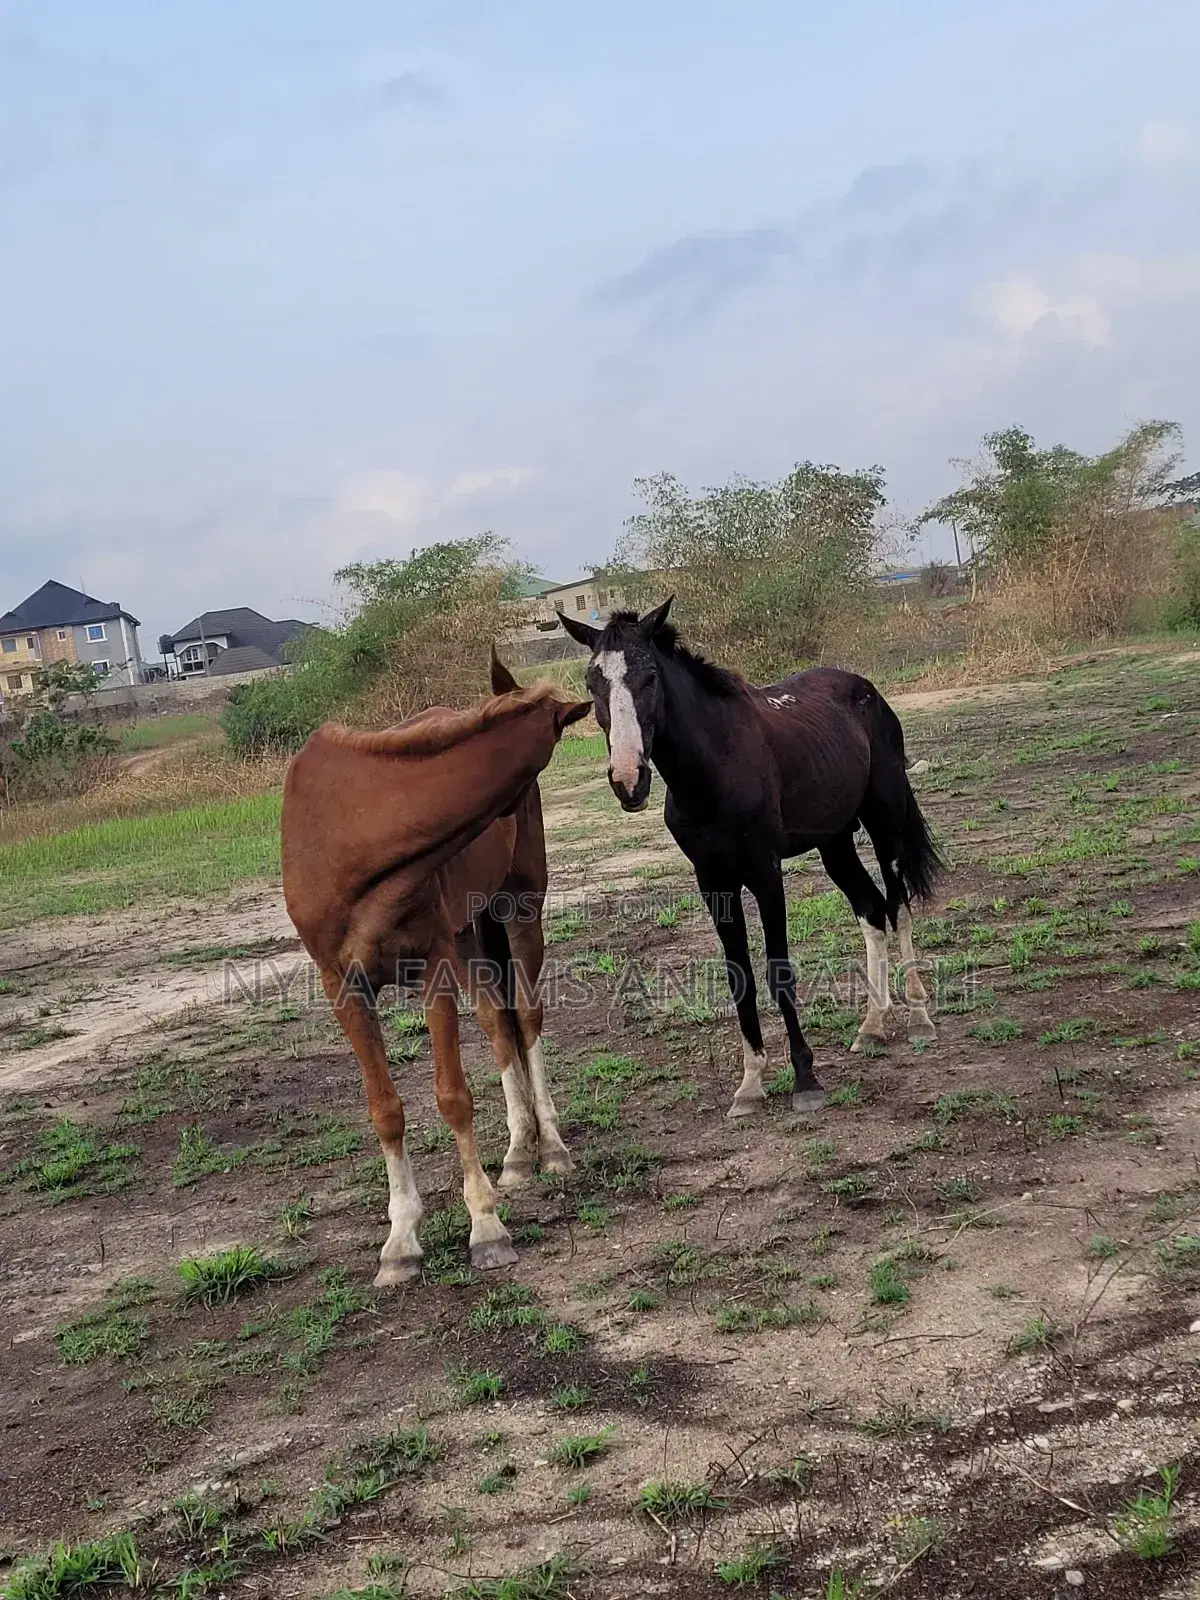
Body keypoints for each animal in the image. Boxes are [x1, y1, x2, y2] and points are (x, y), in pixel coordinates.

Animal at [281, 653, 591, 1284]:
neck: (356, 834)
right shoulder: (343, 987)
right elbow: (385, 1110)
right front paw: (400, 1241)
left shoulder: (434, 968)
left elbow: (452, 1097)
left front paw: (486, 1229)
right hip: (472, 932)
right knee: (498, 1025)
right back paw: (518, 1154)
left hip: (518, 908)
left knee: (526, 1017)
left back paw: (550, 1148)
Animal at [559, 600, 943, 1117]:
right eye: (591, 682)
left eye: (650, 676)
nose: (628, 780)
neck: (715, 768)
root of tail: (866, 691)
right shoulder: (713, 881)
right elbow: (739, 976)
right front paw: (750, 1084)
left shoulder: (765, 872)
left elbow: (778, 970)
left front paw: (805, 1080)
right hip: (835, 843)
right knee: (872, 910)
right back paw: (872, 1026)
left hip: (885, 824)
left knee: (898, 906)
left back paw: (919, 1017)